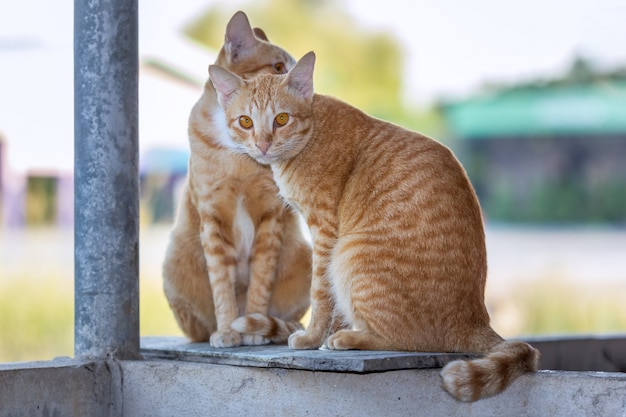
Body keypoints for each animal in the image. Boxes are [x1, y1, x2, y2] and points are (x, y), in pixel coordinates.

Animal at [158, 11, 310, 346]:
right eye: (278, 67)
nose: (298, 84)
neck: (237, 154)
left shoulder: (271, 217)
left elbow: (260, 282)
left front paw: (252, 328)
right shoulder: (213, 218)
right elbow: (221, 286)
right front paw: (228, 330)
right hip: (174, 259)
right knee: (198, 331)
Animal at [207, 52, 540, 400]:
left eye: (282, 119)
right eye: (246, 122)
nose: (262, 145)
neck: (312, 133)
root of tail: (476, 319)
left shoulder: (325, 232)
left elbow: (321, 294)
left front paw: (312, 338)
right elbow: (336, 305)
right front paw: (326, 335)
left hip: (350, 255)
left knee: (409, 341)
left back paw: (350, 339)